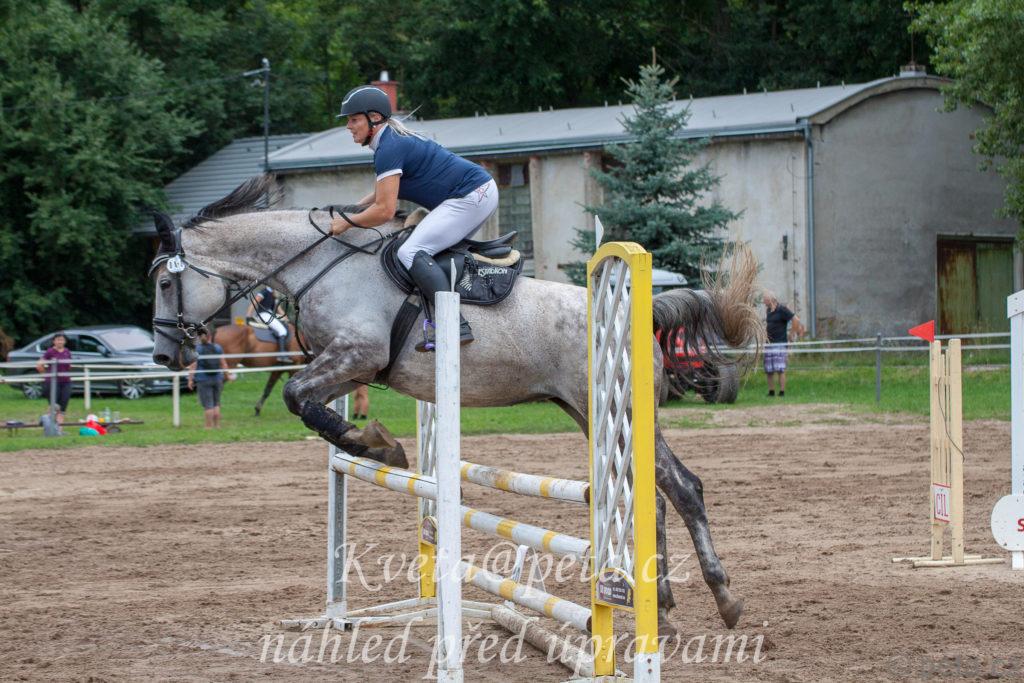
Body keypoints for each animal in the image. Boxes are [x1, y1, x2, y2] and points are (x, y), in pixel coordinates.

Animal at [149, 175, 763, 634]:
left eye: (164, 285)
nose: (163, 355)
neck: (321, 265)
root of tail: (645, 311)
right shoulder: (344, 363)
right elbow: (307, 404)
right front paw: (372, 442)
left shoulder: (357, 354)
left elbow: (297, 397)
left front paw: (381, 447)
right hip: (593, 414)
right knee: (655, 495)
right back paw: (665, 605)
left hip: (615, 411)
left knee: (680, 488)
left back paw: (721, 600)